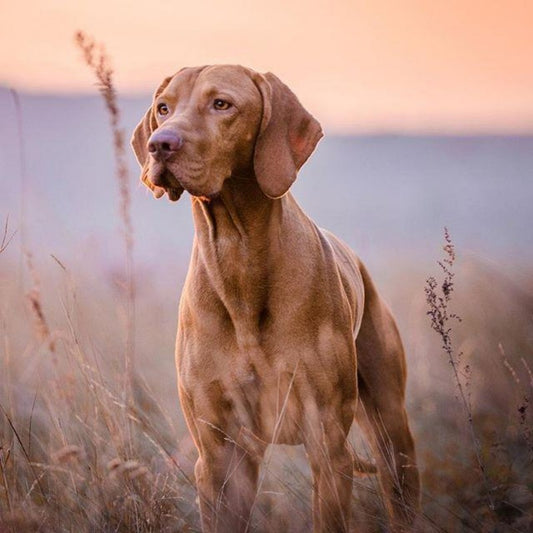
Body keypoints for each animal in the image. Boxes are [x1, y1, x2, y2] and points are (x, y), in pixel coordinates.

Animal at [132, 64, 420, 528]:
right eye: (163, 108)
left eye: (222, 104)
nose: (160, 144)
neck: (238, 258)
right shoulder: (219, 455)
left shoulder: (327, 444)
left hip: (392, 431)